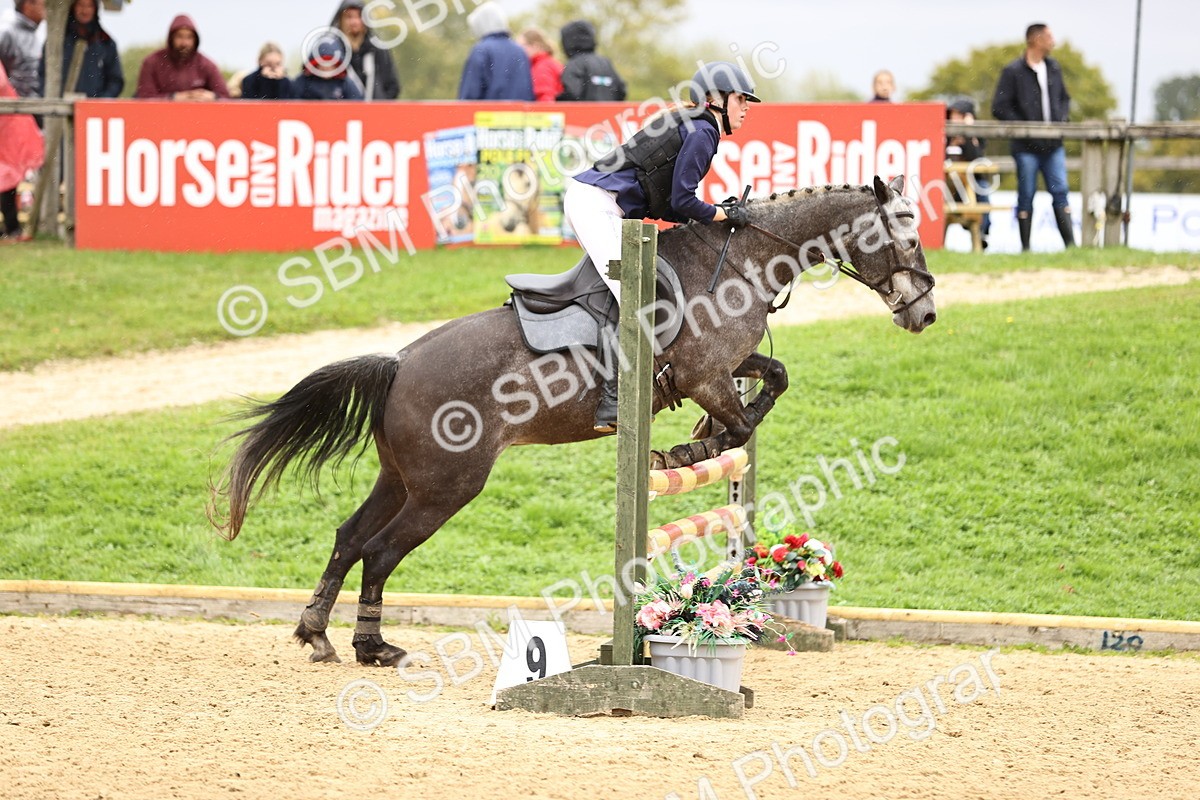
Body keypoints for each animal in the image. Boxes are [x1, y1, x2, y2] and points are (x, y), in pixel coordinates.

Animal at [209, 175, 937, 666]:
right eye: (906, 234)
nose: (925, 313)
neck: (746, 258)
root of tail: (399, 364)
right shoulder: (704, 376)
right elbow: (737, 428)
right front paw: (682, 452)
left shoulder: (726, 367)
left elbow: (774, 379)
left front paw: (696, 441)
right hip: (447, 486)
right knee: (381, 551)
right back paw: (372, 647)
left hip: (402, 478)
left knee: (349, 538)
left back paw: (319, 634)